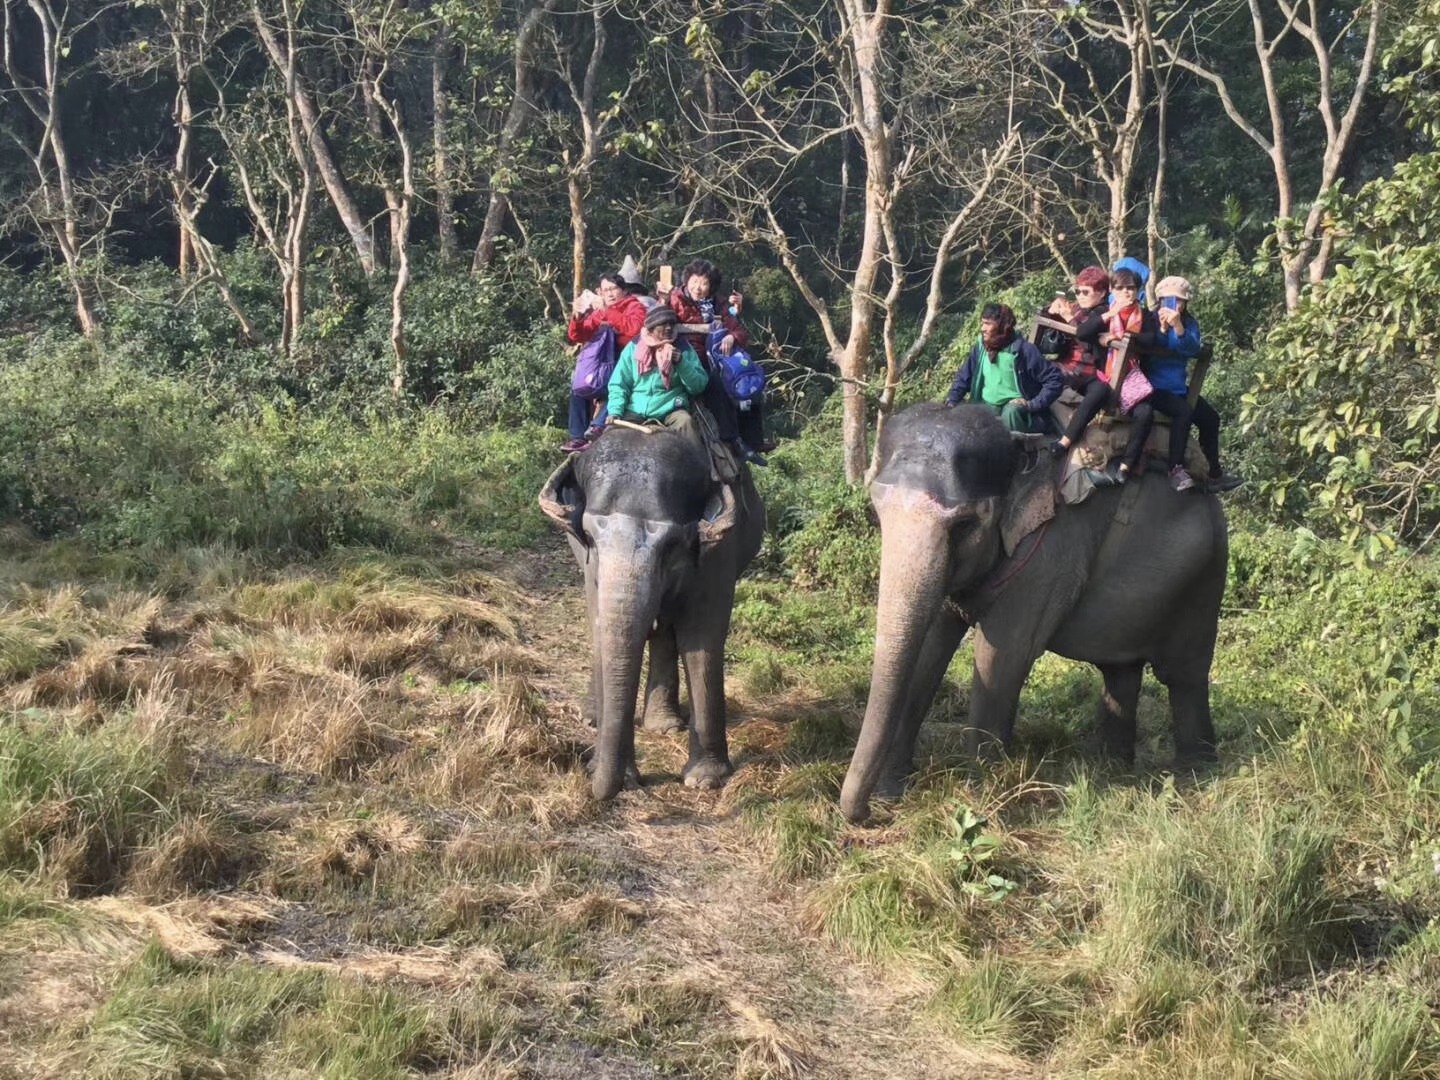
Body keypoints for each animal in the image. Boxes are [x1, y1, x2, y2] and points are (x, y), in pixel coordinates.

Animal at [541, 426, 766, 800]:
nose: (594, 780)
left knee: (666, 630)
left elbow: (702, 637)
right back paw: (593, 717)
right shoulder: (590, 563)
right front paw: (619, 773)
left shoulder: (717, 551)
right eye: (589, 537)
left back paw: (663, 724)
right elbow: (602, 623)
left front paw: (705, 779)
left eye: (672, 544)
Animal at [840, 403, 1226, 817]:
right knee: (1121, 671)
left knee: (1183, 674)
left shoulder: (1047, 555)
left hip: (1204, 575)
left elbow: (1001, 658)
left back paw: (1194, 773)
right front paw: (891, 791)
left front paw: (981, 798)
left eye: (963, 525)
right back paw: (1113, 769)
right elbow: (928, 649)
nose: (865, 814)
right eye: (877, 511)